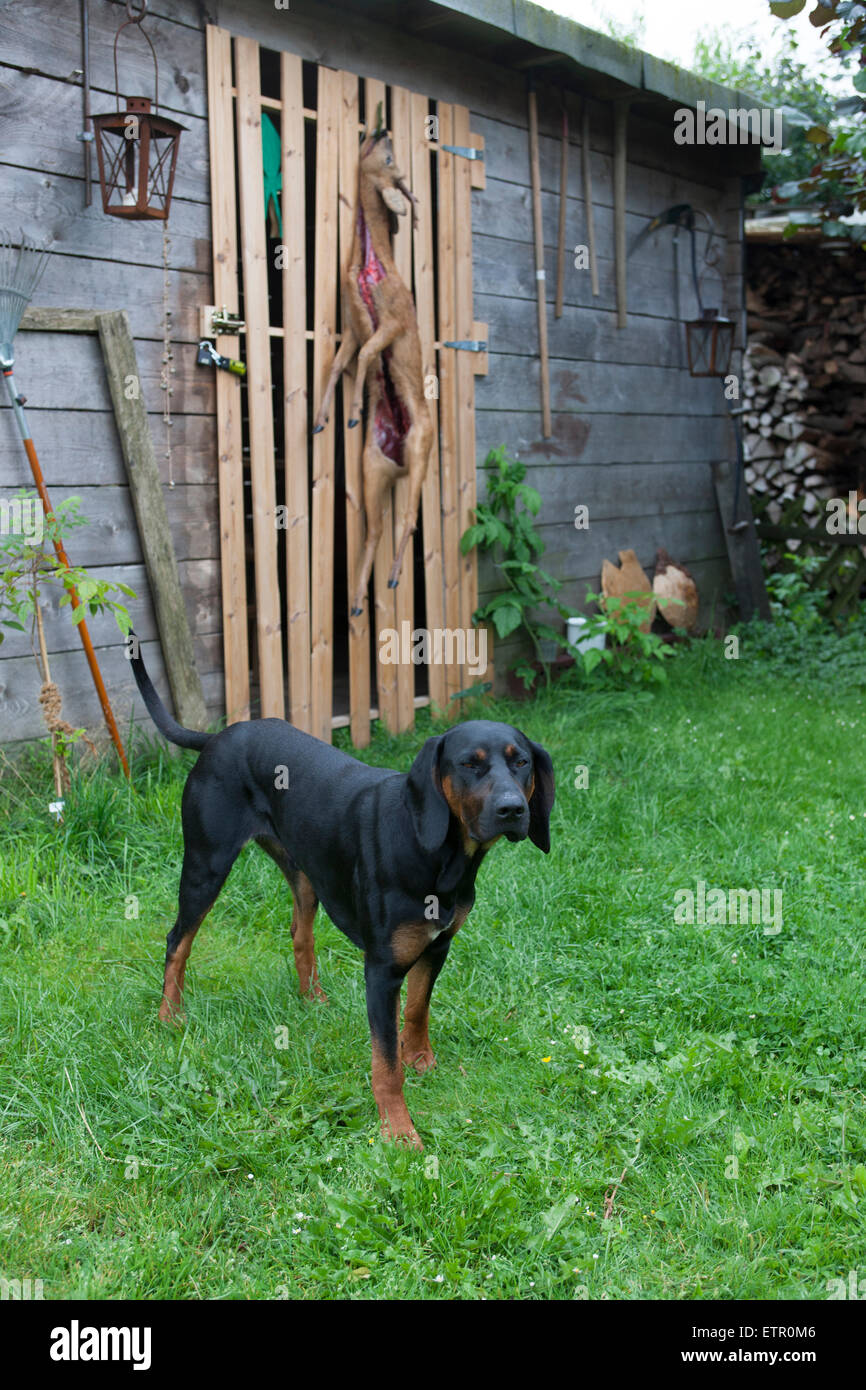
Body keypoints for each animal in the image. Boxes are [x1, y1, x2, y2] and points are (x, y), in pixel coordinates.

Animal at [132, 644, 558, 1145]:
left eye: (521, 762)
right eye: (469, 764)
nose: (513, 810)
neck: (437, 853)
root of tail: (218, 736)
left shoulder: (437, 947)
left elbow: (417, 1012)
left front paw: (421, 1061)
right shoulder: (382, 970)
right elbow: (385, 1064)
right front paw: (399, 1132)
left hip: (303, 871)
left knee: (300, 932)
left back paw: (311, 999)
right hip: (206, 863)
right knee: (177, 940)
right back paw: (169, 1016)